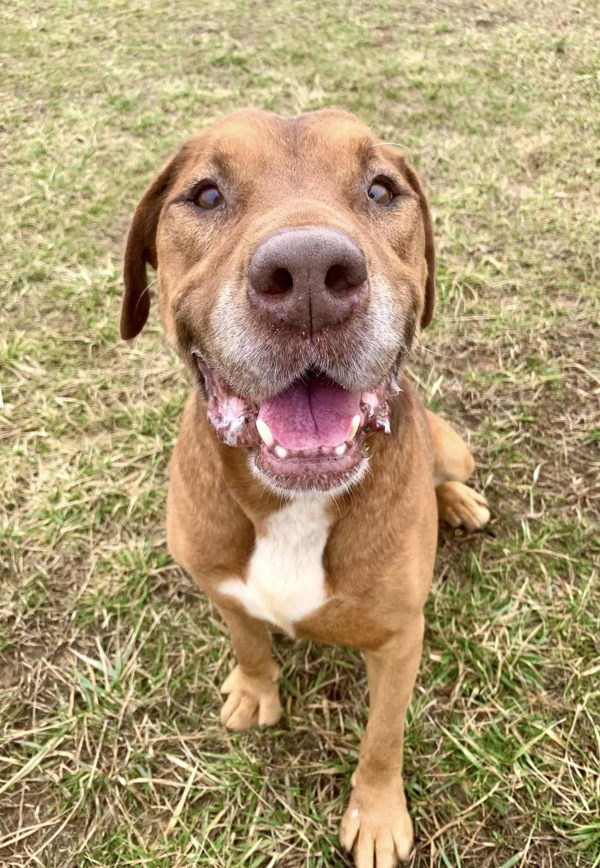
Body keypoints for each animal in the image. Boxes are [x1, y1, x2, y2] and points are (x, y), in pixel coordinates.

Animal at [119, 110, 490, 868]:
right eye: (205, 195)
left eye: (380, 189)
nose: (313, 273)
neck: (292, 502)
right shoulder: (221, 585)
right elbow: (250, 642)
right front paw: (255, 688)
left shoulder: (399, 640)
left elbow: (382, 738)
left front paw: (376, 814)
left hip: (453, 445)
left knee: (450, 471)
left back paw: (460, 502)